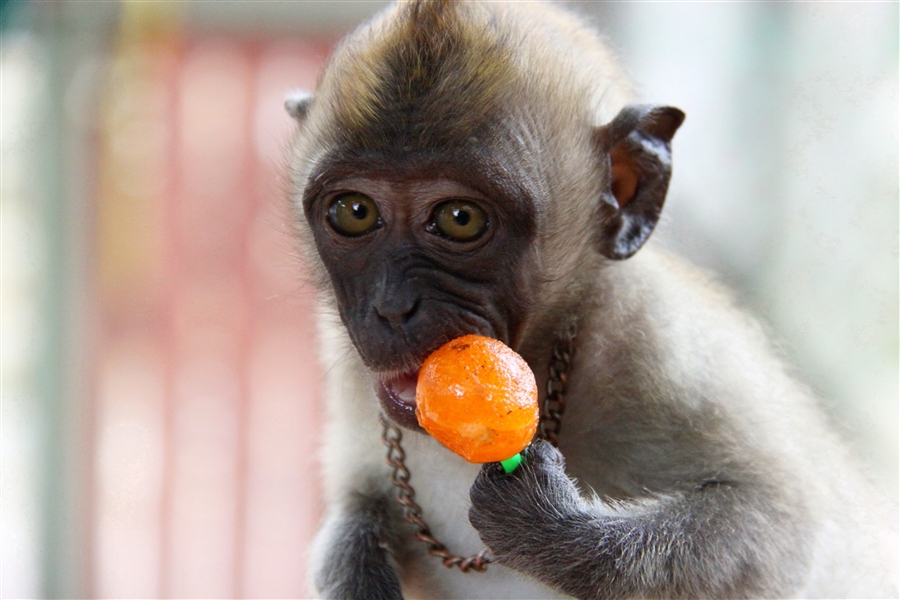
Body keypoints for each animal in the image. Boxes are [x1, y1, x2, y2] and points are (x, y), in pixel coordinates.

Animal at [284, 1, 896, 600]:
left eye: (460, 219)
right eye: (355, 212)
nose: (392, 307)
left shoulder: (653, 343)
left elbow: (781, 529)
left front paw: (546, 527)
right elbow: (355, 496)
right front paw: (359, 563)